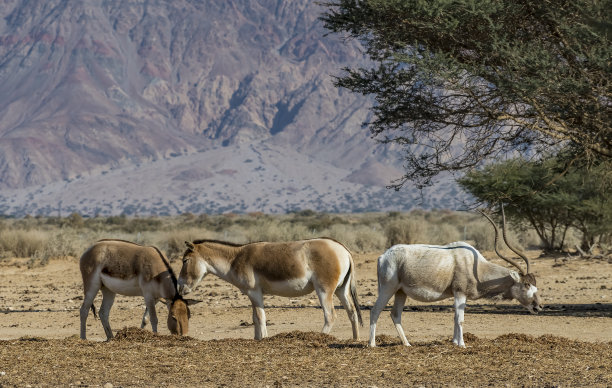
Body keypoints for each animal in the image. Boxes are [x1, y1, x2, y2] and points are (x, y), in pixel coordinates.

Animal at [177, 238, 364, 342]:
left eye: (185, 260)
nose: (180, 287)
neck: (234, 259)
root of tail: (343, 249)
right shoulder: (252, 294)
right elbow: (255, 317)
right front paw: (257, 339)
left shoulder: (254, 292)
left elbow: (260, 317)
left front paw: (264, 338)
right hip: (341, 289)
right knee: (352, 311)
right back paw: (355, 339)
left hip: (324, 290)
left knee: (330, 315)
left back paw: (320, 336)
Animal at [366, 208, 544, 348]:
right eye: (526, 284)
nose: (538, 307)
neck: (477, 267)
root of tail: (383, 256)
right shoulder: (460, 293)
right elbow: (460, 319)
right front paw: (462, 344)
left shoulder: (457, 295)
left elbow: (454, 317)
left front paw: (454, 342)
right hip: (388, 288)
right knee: (375, 310)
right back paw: (372, 344)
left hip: (401, 292)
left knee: (395, 314)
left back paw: (407, 344)